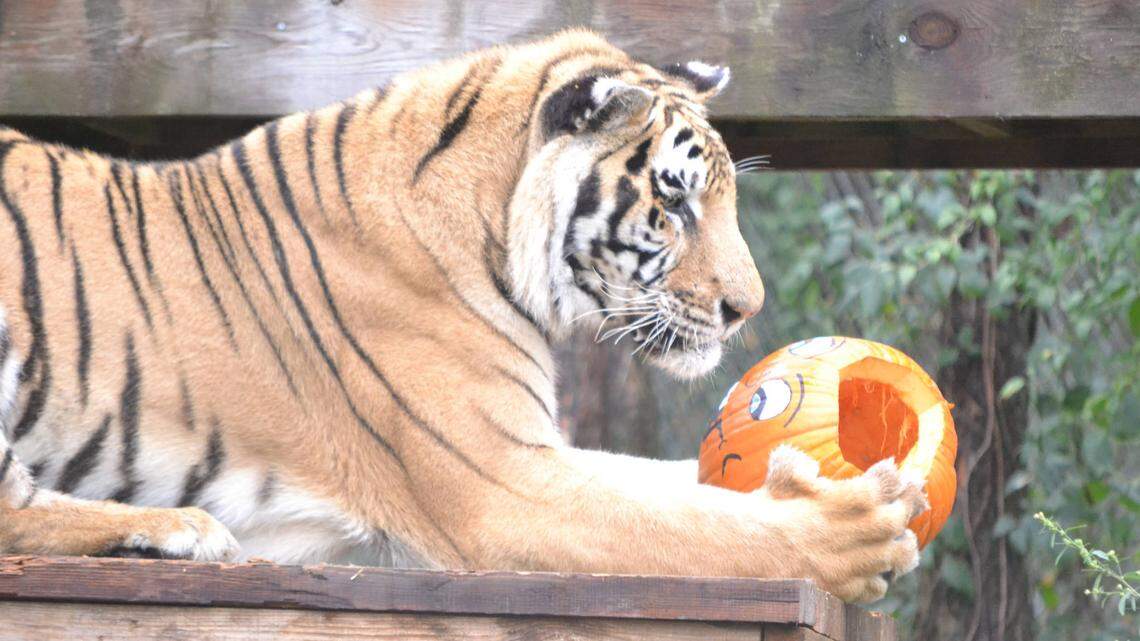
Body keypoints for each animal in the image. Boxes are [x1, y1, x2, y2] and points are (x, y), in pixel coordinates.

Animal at [0, 30, 925, 603]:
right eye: (674, 203)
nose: (746, 308)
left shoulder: (533, 447)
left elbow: (683, 483)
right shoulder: (502, 483)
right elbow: (696, 526)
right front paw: (852, 529)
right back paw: (178, 528)